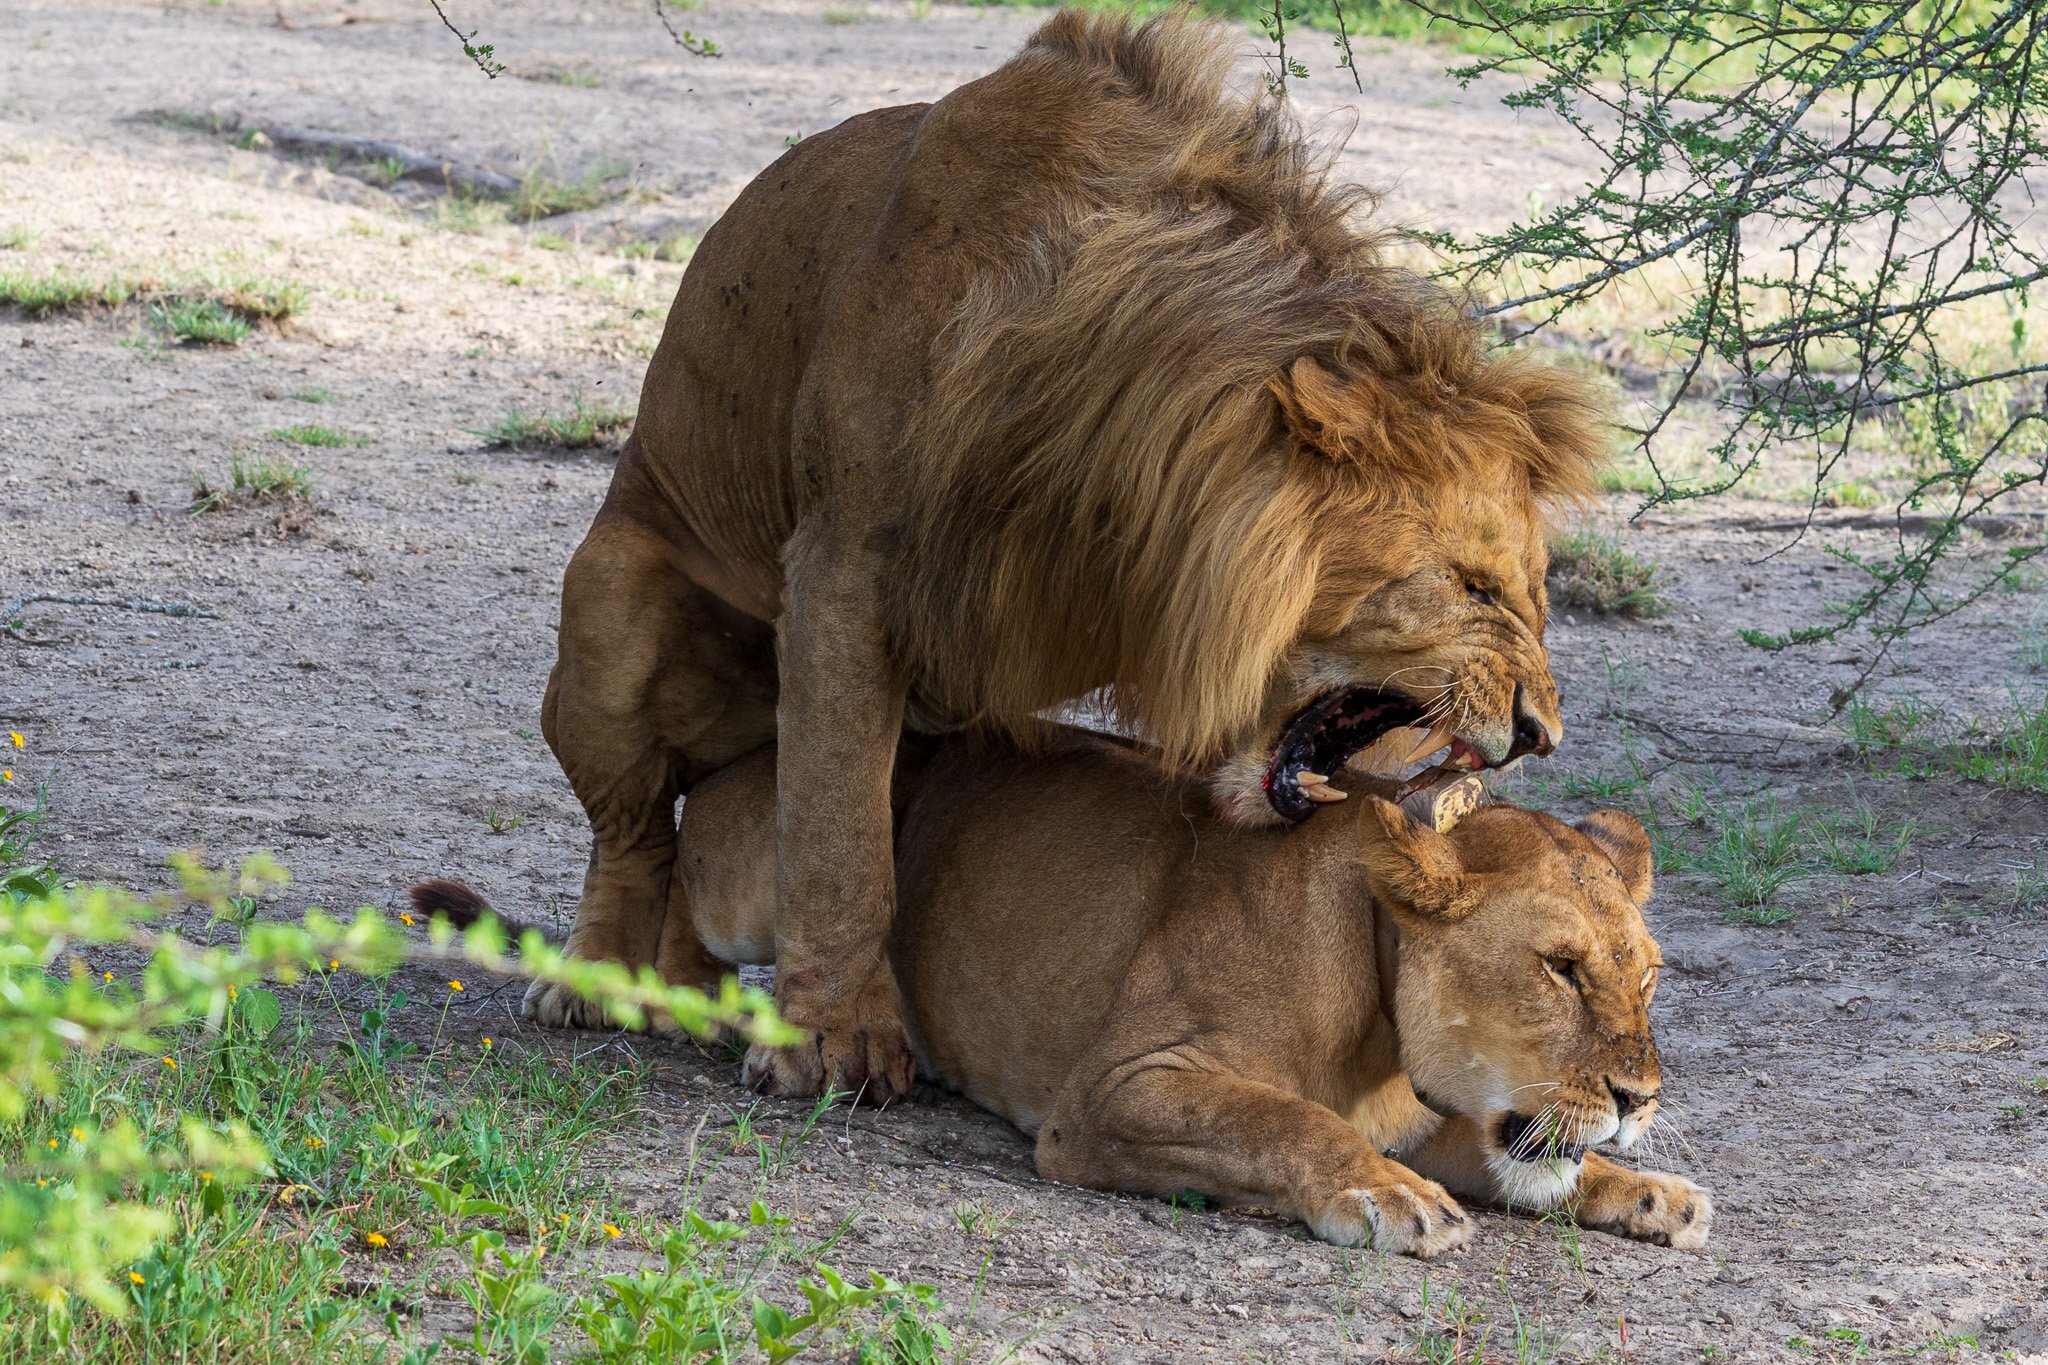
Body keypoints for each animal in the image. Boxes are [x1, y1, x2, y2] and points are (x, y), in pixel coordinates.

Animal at [532, 7, 1613, 1113]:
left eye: (1533, 599)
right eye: (1473, 586)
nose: (1542, 735)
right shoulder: (843, 569)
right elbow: (839, 835)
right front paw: (834, 1039)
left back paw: (689, 996)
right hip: (612, 608)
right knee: (636, 829)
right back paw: (597, 982)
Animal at [675, 736, 1712, 1260]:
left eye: (1647, 976)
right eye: (1560, 968)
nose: (1641, 1100)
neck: (1382, 1029)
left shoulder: (1427, 1121)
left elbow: (1529, 1165)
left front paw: (1649, 1192)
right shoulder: (1111, 1090)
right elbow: (1284, 1119)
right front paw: (1387, 1194)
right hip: (759, 877)